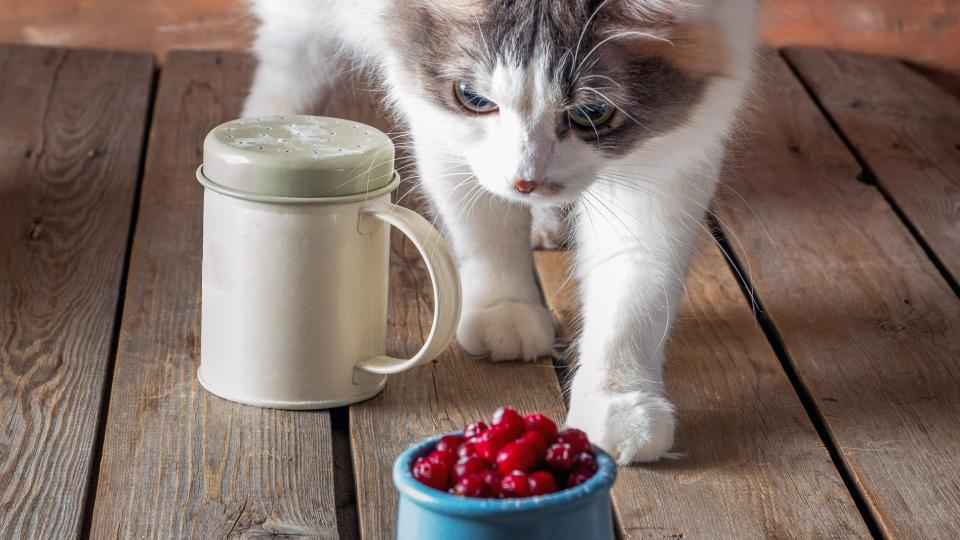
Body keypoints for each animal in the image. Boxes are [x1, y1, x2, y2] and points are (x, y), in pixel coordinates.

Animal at [244, 0, 760, 464]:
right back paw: (267, 132)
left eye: (592, 113)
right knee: (288, 62)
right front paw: (504, 312)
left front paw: (619, 404)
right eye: (474, 99)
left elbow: (633, 299)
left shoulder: (669, 158)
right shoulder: (438, 119)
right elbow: (485, 228)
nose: (525, 181)